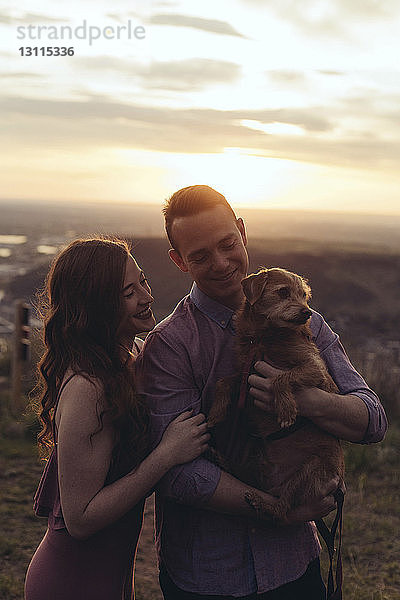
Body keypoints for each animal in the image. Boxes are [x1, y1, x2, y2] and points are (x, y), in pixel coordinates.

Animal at [206, 268, 344, 524]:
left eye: (304, 296)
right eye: (283, 292)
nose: (307, 312)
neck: (264, 337)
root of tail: (274, 484)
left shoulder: (315, 370)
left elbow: (281, 379)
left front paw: (287, 409)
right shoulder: (245, 373)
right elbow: (223, 381)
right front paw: (216, 413)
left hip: (308, 472)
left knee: (282, 509)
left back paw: (264, 504)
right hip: (254, 455)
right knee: (243, 477)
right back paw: (222, 461)